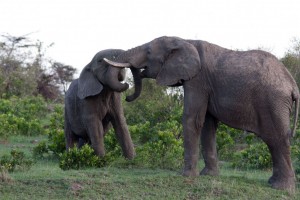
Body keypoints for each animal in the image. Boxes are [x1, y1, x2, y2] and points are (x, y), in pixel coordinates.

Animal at [103, 36, 300, 191]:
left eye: (149, 51)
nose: (127, 93)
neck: (185, 41)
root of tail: (293, 86)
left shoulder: (198, 80)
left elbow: (192, 119)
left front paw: (186, 176)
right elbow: (207, 124)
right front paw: (209, 175)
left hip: (273, 102)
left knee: (277, 138)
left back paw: (281, 188)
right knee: (274, 141)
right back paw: (273, 183)